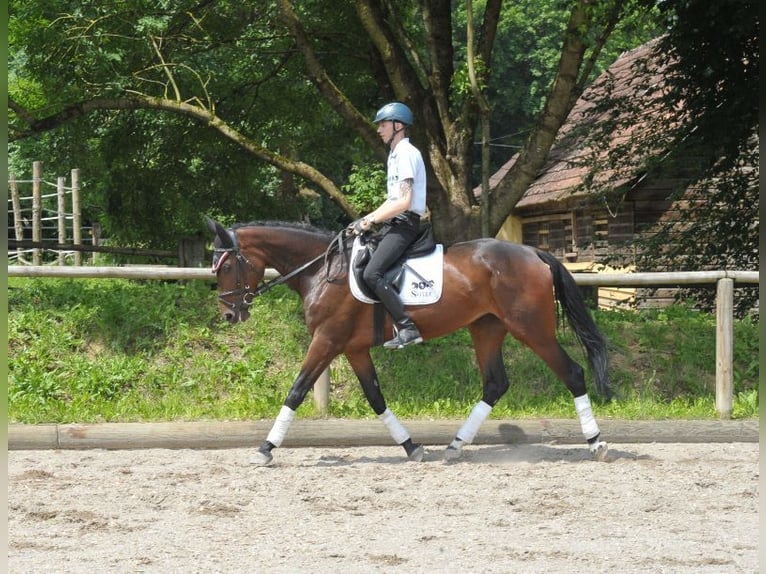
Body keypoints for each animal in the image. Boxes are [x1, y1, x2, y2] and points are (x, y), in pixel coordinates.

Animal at [208, 218, 612, 466]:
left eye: (226, 266)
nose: (229, 315)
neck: (322, 271)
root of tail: (534, 253)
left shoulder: (327, 340)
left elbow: (296, 391)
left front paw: (265, 449)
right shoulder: (353, 348)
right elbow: (375, 397)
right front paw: (411, 447)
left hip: (532, 329)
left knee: (572, 373)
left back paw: (597, 443)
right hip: (486, 328)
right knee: (495, 383)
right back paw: (455, 446)